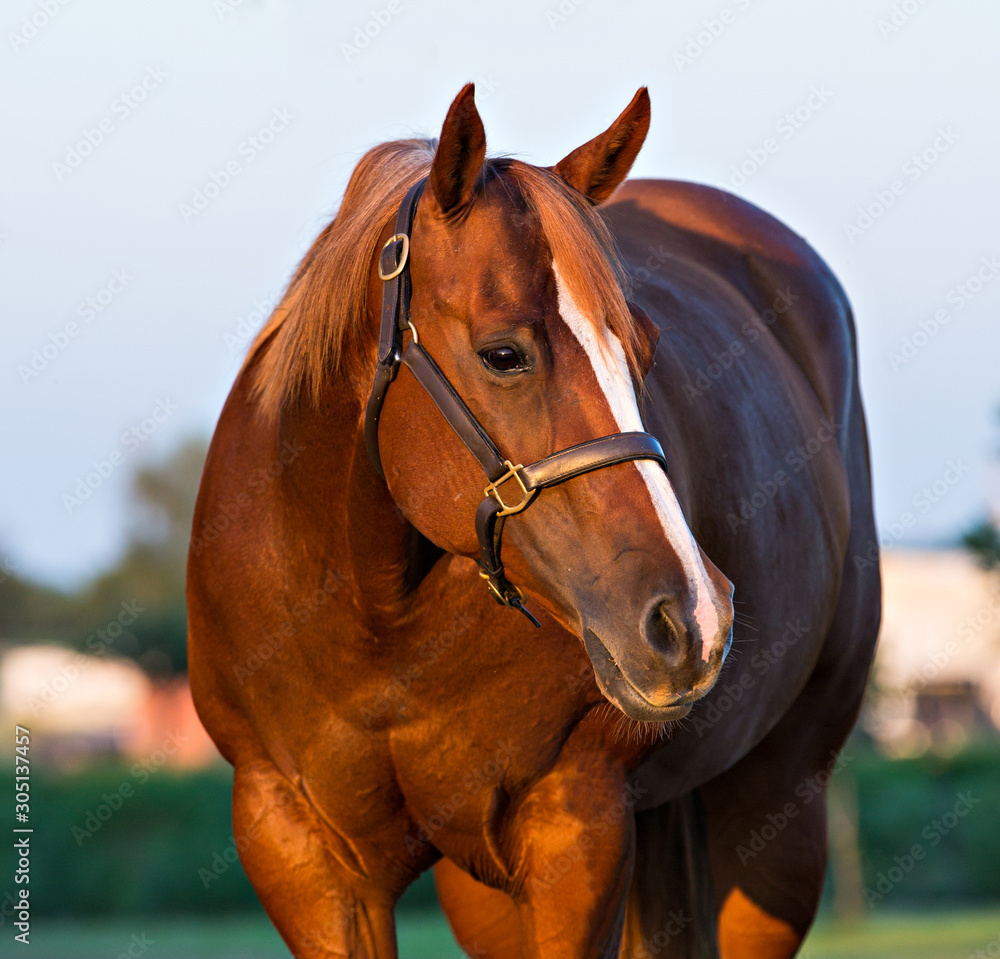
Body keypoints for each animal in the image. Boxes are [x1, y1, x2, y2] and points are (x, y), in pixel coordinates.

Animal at [187, 84, 880, 958]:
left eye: (645, 350)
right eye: (503, 353)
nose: (693, 617)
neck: (375, 621)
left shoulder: (575, 829)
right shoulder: (300, 850)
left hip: (776, 815)